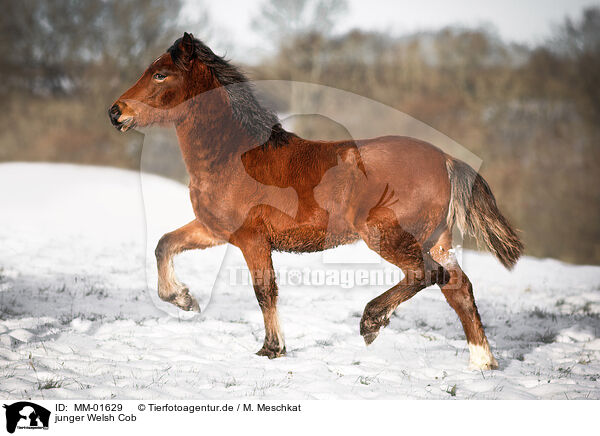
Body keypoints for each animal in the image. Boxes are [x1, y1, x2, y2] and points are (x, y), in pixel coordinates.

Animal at [110, 32, 524, 370]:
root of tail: (446, 159)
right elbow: (164, 244)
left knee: (426, 275)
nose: (116, 112)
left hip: (385, 234)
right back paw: (482, 362)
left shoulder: (251, 239)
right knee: (458, 287)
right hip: (435, 239)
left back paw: (371, 322)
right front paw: (184, 300)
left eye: (160, 75)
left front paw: (272, 348)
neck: (234, 156)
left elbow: (264, 292)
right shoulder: (216, 229)